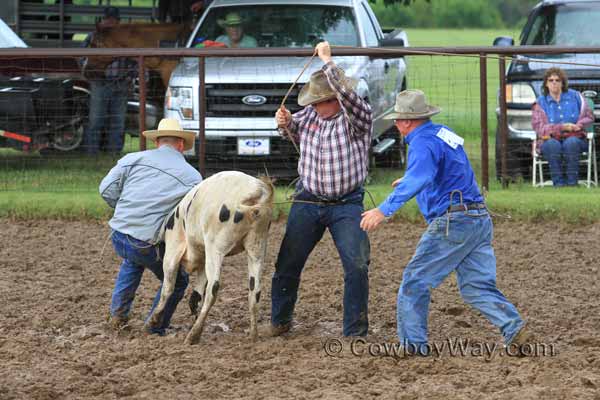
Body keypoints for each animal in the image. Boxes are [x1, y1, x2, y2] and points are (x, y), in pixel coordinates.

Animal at [146, 171, 274, 344]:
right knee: (255, 291)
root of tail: (256, 191)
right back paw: (253, 335)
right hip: (257, 247)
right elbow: (196, 294)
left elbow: (168, 288)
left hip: (216, 248)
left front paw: (152, 321)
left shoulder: (173, 250)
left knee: (213, 289)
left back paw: (192, 336)